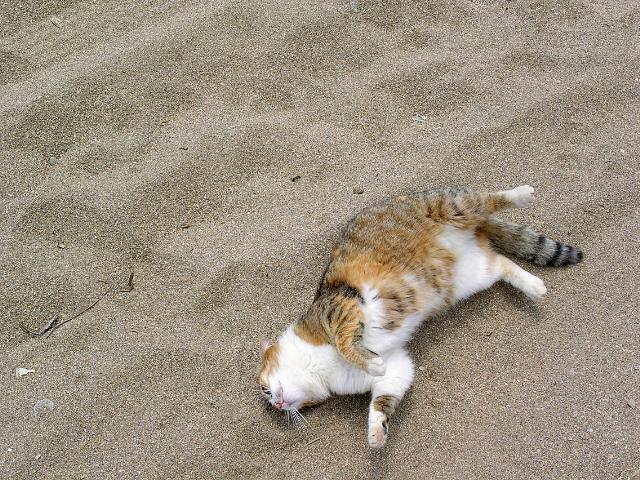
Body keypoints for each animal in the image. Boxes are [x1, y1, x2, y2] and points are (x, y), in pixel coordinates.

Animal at [258, 186, 583, 448]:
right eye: (270, 399)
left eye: (264, 389)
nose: (277, 405)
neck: (318, 367)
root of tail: (476, 229)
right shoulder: (397, 365)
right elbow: (384, 397)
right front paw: (376, 433)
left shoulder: (339, 307)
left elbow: (345, 342)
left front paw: (367, 361)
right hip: (470, 276)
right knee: (501, 262)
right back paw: (534, 287)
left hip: (449, 205)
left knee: (486, 200)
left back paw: (520, 194)